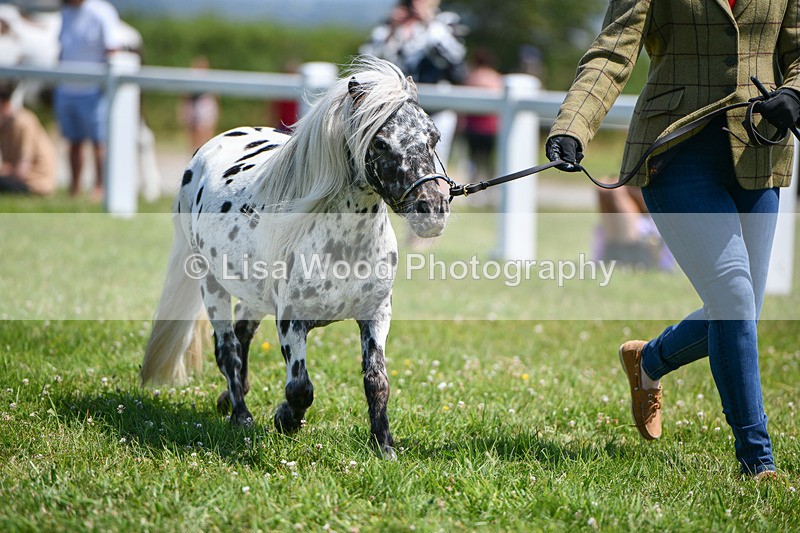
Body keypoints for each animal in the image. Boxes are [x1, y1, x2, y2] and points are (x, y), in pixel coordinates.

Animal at [140, 56, 451, 459]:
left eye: (434, 137)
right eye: (380, 142)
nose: (433, 210)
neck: (343, 248)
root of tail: (211, 146)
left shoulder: (376, 315)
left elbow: (377, 381)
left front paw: (383, 446)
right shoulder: (291, 321)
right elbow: (300, 388)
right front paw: (284, 419)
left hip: (253, 293)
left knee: (242, 335)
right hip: (210, 283)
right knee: (227, 348)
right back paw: (241, 415)